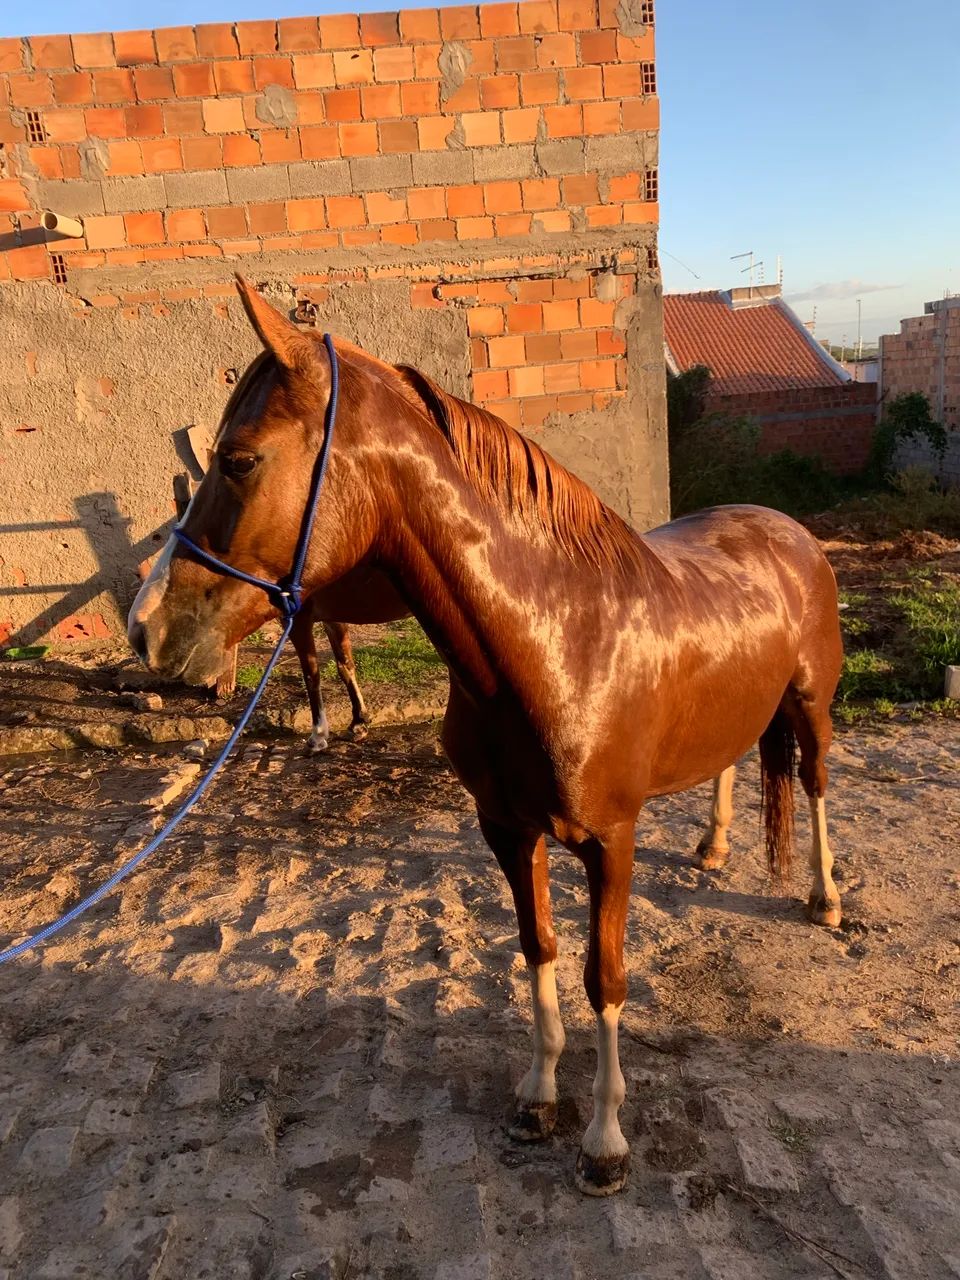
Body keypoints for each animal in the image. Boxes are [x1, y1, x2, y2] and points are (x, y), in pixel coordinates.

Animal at [128, 277, 844, 1196]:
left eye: (239, 459)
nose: (147, 628)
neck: (558, 640)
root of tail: (787, 528)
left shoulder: (610, 842)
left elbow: (603, 977)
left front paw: (605, 1142)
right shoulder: (507, 831)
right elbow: (537, 949)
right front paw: (538, 1098)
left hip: (812, 708)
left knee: (818, 785)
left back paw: (826, 898)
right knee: (727, 767)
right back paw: (715, 849)